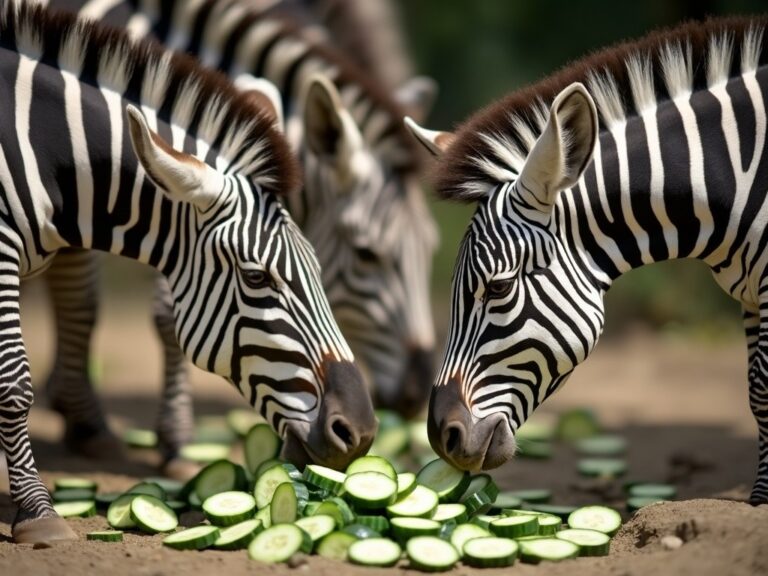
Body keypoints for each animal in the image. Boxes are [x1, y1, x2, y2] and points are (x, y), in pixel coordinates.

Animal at [412, 15, 768, 504]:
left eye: (499, 286)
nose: (441, 438)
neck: (736, 179)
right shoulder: (749, 294)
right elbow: (755, 392)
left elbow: (764, 391)